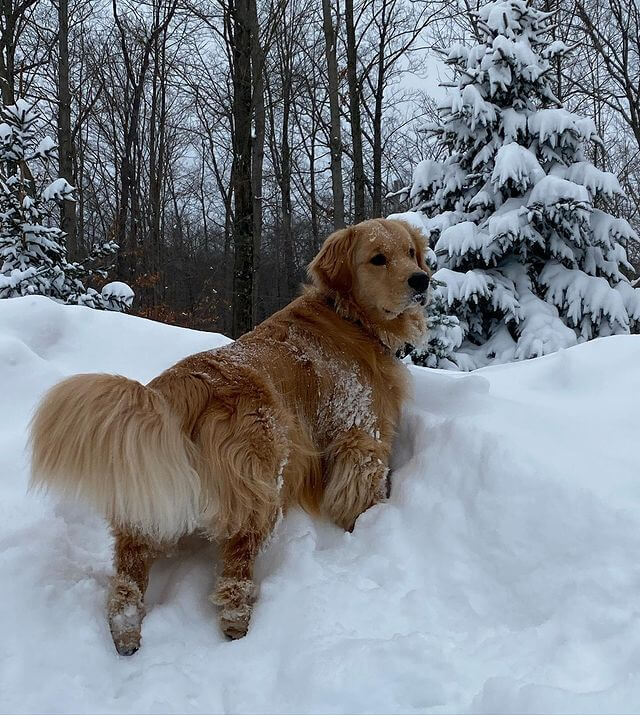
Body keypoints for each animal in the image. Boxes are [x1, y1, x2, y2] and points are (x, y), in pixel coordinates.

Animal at [28, 218, 430, 656]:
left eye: (410, 252)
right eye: (378, 258)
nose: (422, 280)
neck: (348, 317)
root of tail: (184, 385)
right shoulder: (359, 432)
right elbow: (362, 488)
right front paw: (368, 524)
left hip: (148, 496)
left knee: (127, 576)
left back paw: (126, 631)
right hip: (260, 481)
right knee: (235, 568)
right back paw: (238, 623)